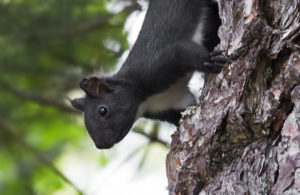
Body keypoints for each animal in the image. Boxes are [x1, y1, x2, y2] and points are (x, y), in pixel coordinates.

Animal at [71, 0, 229, 149]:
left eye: (102, 110)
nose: (101, 145)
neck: (144, 100)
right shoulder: (171, 103)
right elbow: (184, 110)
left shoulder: (155, 66)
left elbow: (184, 53)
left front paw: (209, 60)